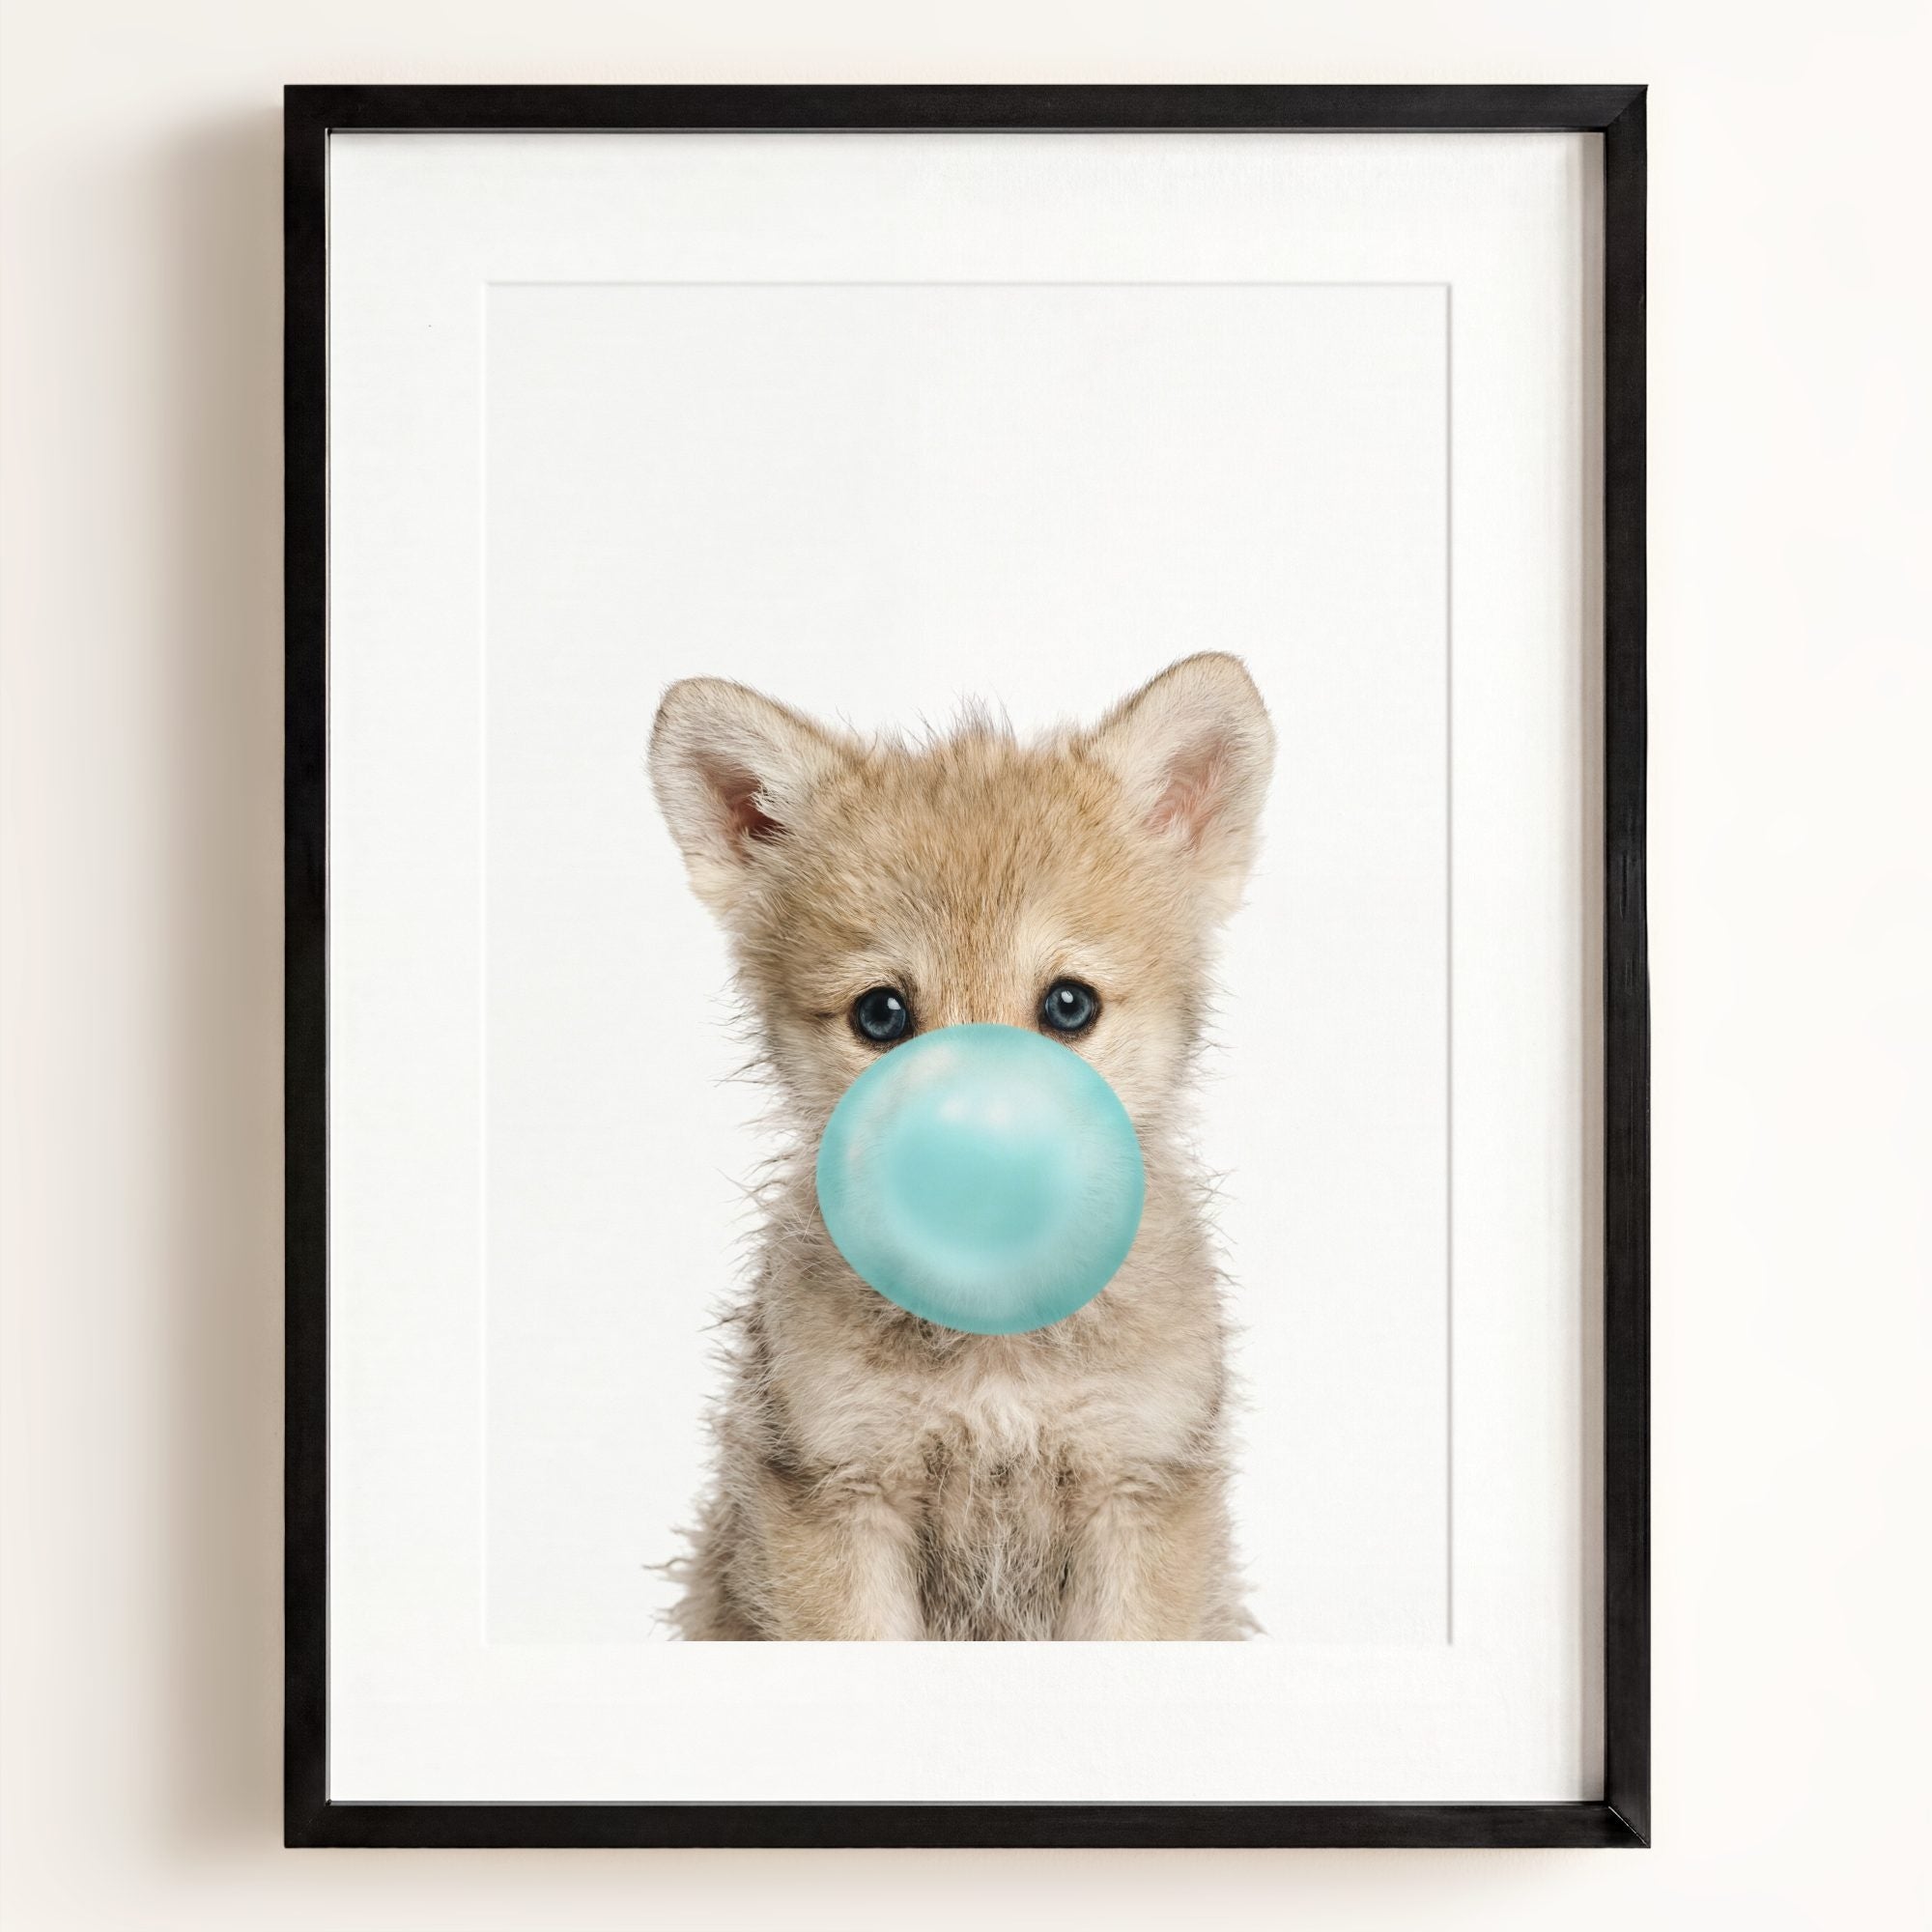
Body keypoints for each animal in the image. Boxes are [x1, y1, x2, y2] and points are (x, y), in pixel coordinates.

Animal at [648, 653, 1273, 1639]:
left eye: (1069, 1005)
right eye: (880, 1014)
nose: (977, 1169)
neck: (996, 1353)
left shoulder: (1138, 1491)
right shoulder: (837, 1493)